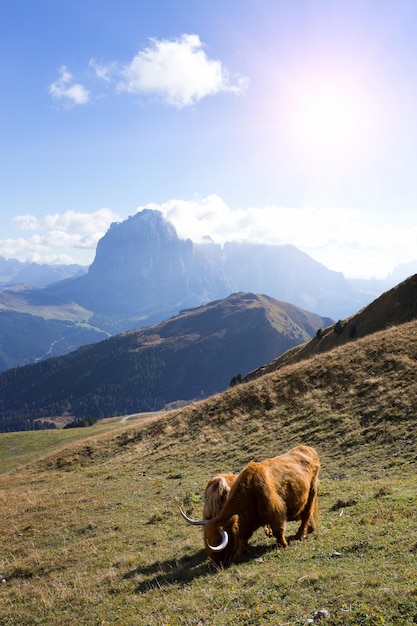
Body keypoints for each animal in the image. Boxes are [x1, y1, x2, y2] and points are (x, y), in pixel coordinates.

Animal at [179, 444, 318, 564]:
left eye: (218, 541)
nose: (216, 563)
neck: (250, 491)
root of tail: (309, 449)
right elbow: (244, 537)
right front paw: (242, 551)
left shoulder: (275, 512)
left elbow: (278, 530)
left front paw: (282, 544)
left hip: (311, 491)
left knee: (307, 514)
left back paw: (300, 535)